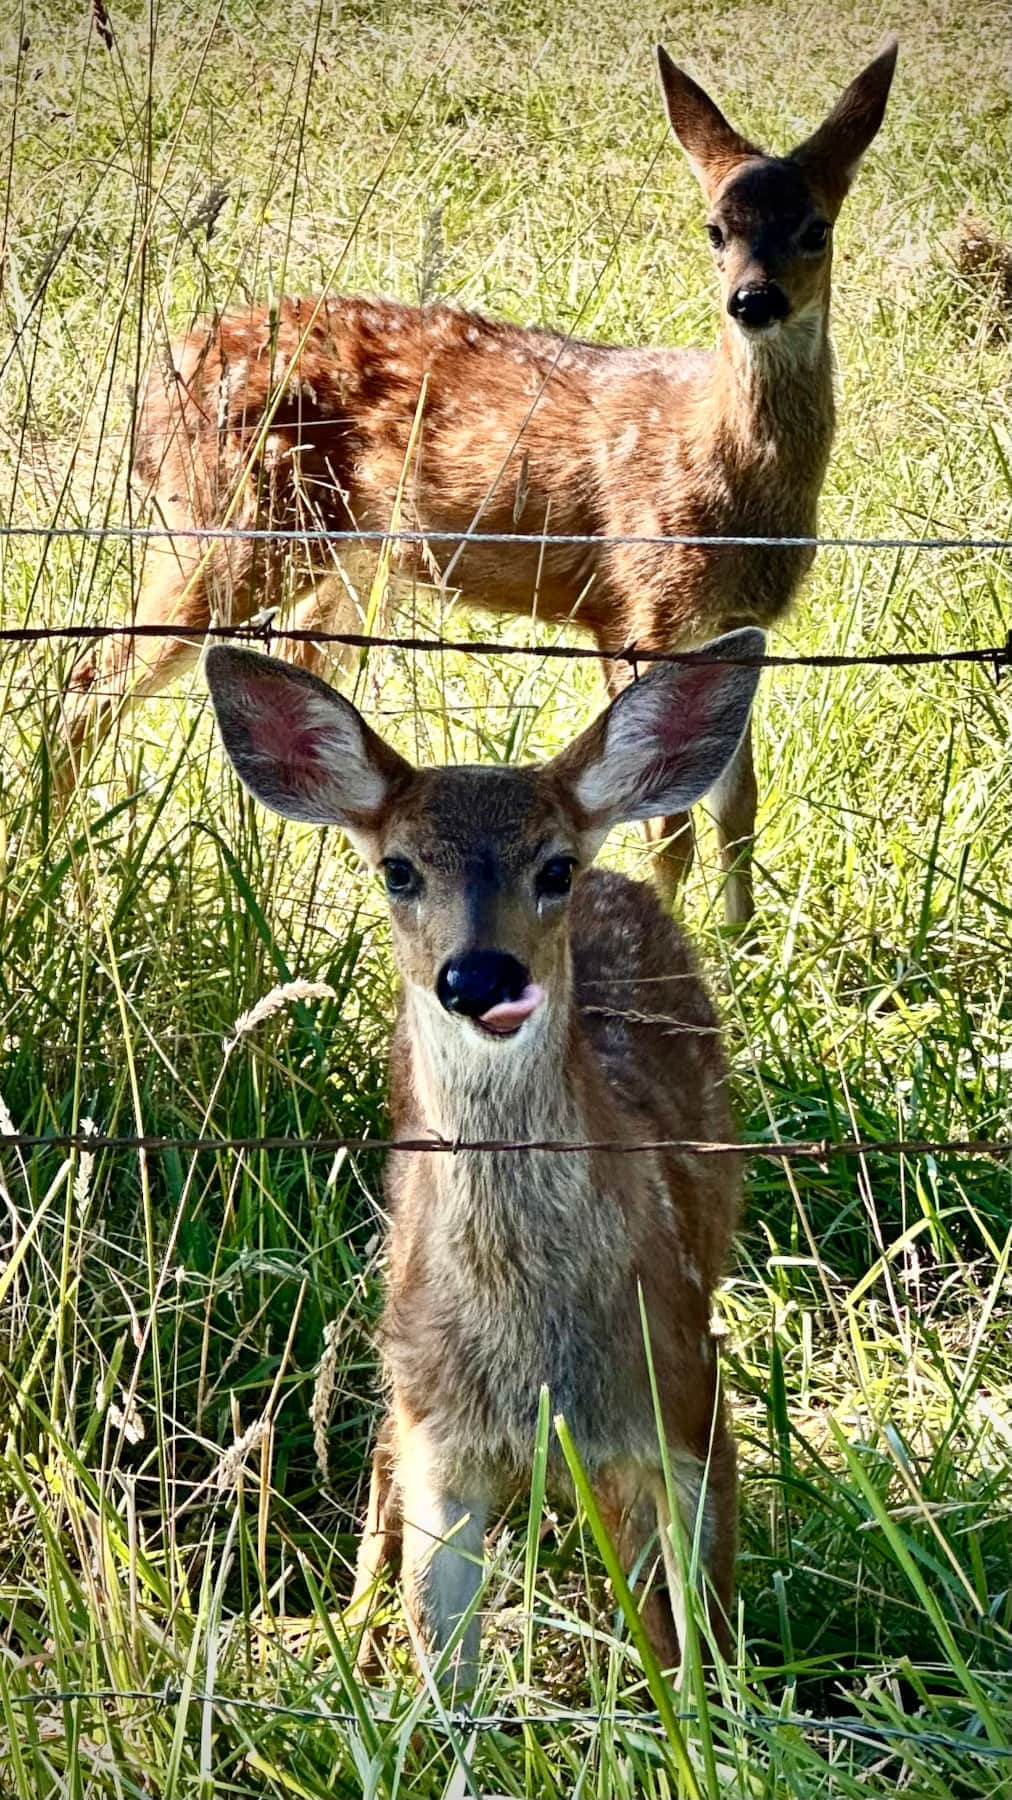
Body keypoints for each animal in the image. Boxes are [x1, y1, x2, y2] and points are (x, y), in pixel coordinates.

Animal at [64, 38, 896, 926]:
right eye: (715, 229)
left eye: (816, 228)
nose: (753, 299)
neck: (731, 483)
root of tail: (153, 393)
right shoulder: (635, 608)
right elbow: (667, 826)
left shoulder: (735, 623)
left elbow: (737, 809)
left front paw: (745, 946)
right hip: (231, 523)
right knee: (91, 677)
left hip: (349, 560)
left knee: (295, 682)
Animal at [203, 622, 763, 1686]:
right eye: (398, 869)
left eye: (553, 868)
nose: (479, 976)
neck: (533, 1357)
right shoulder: (447, 1446)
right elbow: (441, 1657)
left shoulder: (686, 1401)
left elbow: (706, 1641)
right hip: (405, 1350)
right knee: (382, 1453)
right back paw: (342, 1622)